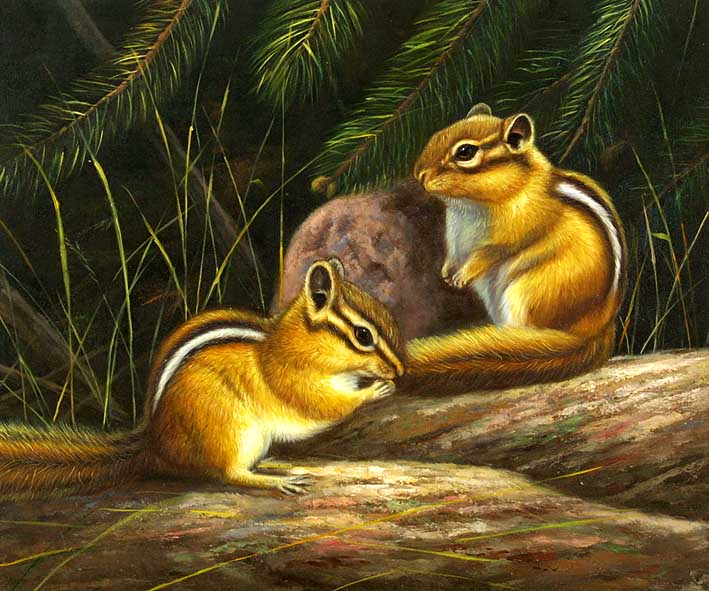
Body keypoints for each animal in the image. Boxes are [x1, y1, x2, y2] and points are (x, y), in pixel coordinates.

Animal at [0, 259, 404, 501]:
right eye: (363, 335)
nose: (400, 370)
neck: (293, 342)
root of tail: (153, 446)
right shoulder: (291, 379)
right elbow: (323, 406)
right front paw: (375, 390)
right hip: (229, 432)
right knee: (228, 475)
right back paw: (275, 480)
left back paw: (272, 465)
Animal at [397, 103, 626, 394]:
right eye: (437, 134)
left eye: (465, 152)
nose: (419, 174)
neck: (468, 206)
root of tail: (596, 332)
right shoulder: (454, 236)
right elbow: (453, 255)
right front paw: (447, 273)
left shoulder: (511, 234)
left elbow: (487, 255)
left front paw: (461, 276)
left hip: (525, 293)